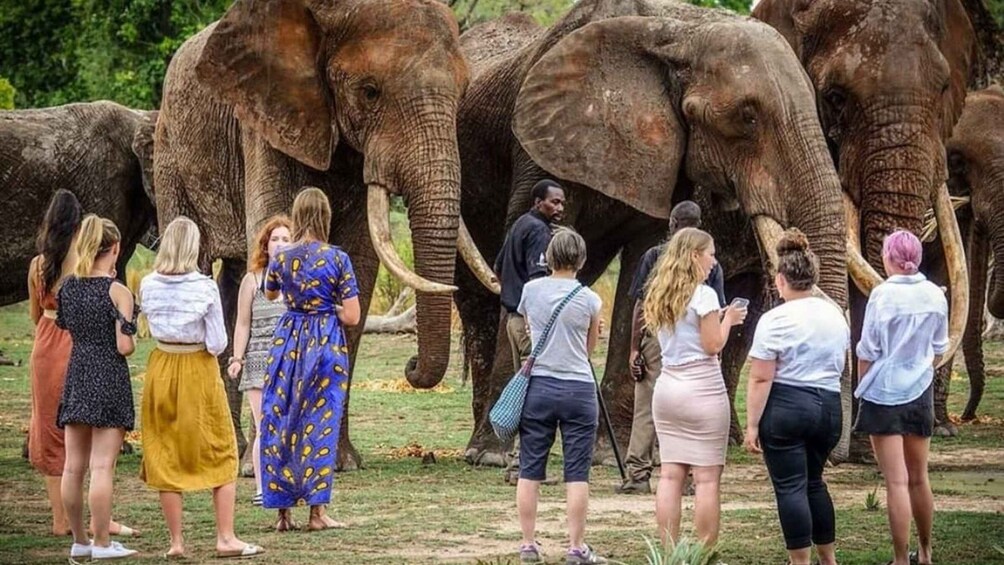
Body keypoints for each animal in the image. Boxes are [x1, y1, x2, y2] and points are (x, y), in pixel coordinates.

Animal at [153, 0, 498, 470]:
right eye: (370, 91)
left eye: (463, 93)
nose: (410, 366)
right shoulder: (263, 119)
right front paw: (266, 463)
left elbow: (359, 264)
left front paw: (340, 461)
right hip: (169, 151)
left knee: (234, 283)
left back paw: (235, 449)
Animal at [453, 0, 850, 466]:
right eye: (747, 117)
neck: (677, 30)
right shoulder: (540, 143)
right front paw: (494, 455)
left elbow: (645, 267)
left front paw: (613, 455)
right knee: (477, 299)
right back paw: (485, 447)